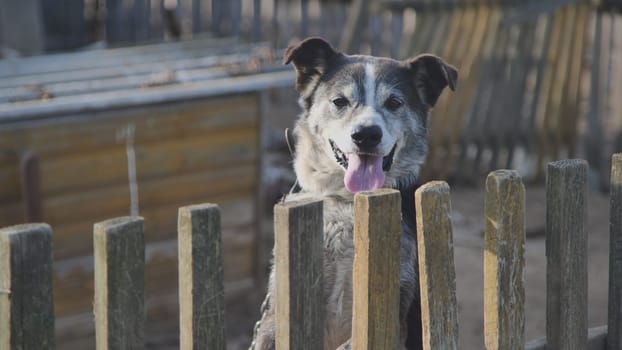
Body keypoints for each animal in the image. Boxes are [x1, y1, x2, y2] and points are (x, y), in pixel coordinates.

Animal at [252, 37, 458, 348]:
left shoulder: (394, 308)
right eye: (340, 101)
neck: (348, 201)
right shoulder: (276, 312)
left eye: (394, 102)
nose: (366, 135)